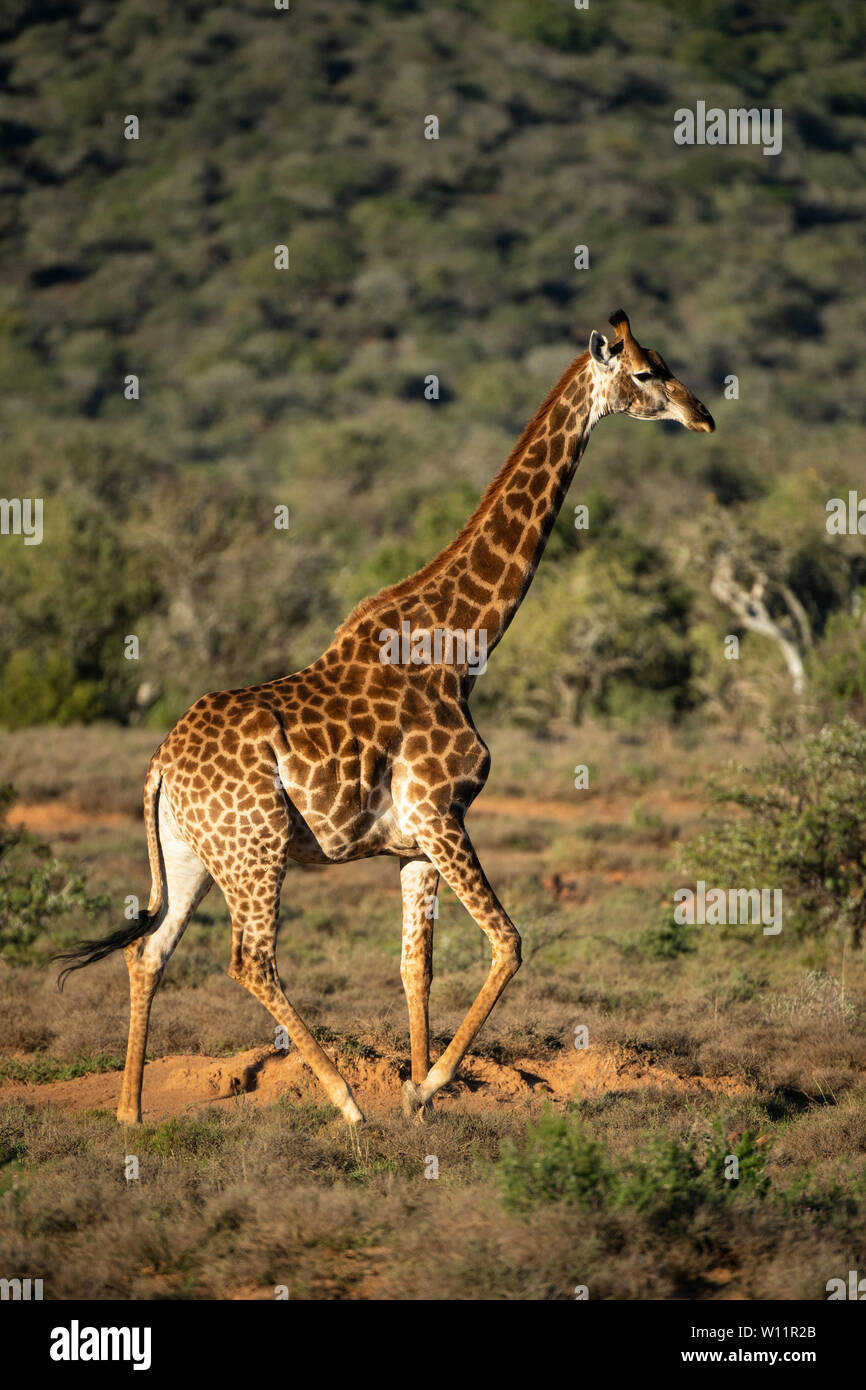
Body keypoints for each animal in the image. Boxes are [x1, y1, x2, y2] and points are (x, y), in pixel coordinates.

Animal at [55, 309, 714, 1126]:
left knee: (150, 951)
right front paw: (422, 1087)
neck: (461, 648)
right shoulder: (440, 813)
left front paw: (420, 1099)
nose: (704, 415)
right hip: (256, 850)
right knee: (250, 958)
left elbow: (414, 969)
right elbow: (509, 943)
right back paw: (343, 1100)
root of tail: (158, 767)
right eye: (648, 372)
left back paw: (131, 1114)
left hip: (191, 854)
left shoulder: (414, 844)